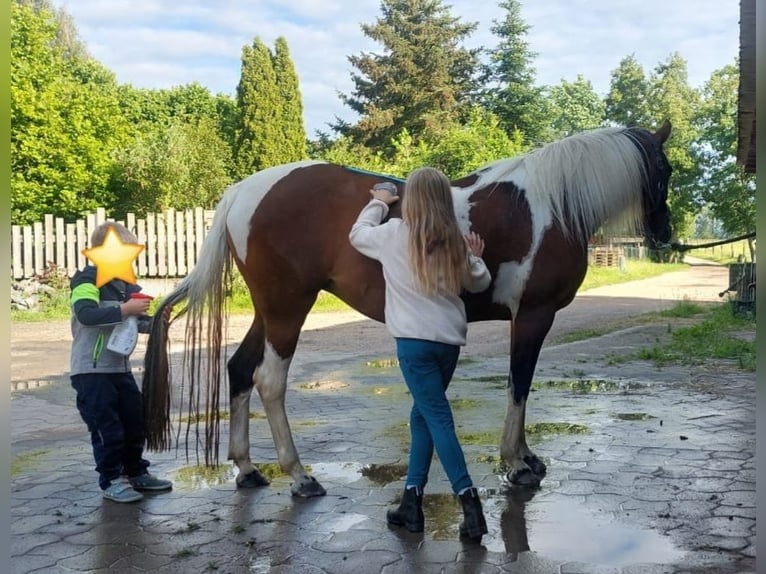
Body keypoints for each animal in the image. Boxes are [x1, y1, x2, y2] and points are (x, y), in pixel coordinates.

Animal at [143, 121, 673, 497]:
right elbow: (519, 386)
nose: (666, 235)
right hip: (288, 307)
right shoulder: (533, 316)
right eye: (665, 171)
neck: (552, 205)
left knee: (239, 370)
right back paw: (299, 476)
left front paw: (525, 457)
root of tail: (242, 192)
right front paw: (516, 462)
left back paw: (248, 469)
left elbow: (519, 387)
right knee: (269, 381)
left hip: (269, 310)